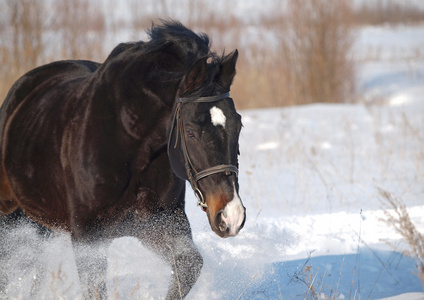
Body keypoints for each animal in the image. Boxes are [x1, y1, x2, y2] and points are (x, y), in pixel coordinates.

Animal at [0, 21, 245, 300]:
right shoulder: (87, 237)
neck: (130, 148)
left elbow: (188, 266)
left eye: (239, 124)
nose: (232, 216)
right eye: (191, 131)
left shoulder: (159, 224)